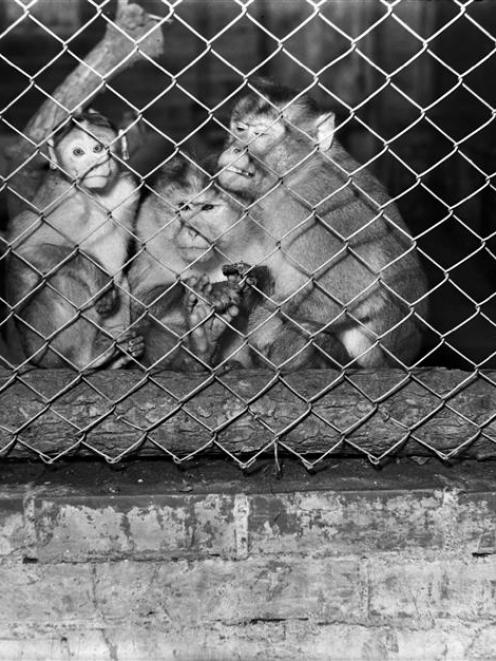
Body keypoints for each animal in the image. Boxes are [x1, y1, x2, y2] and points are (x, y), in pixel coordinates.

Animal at [5, 107, 142, 366]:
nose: (94, 165)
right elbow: (22, 250)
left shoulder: (129, 191)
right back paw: (87, 359)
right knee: (60, 278)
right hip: (45, 348)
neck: (96, 196)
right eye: (78, 152)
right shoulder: (63, 200)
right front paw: (101, 282)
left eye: (98, 148)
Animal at [217, 80, 430, 368]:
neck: (291, 175)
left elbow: (355, 291)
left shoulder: (311, 206)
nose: (237, 147)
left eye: (260, 134)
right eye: (239, 129)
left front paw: (259, 304)